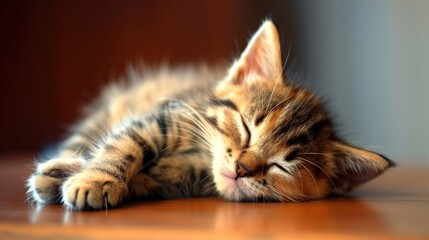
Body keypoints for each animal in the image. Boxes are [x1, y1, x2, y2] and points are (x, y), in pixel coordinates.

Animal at [25, 20, 392, 210]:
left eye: (281, 166)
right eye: (246, 128)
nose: (242, 168)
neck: (202, 157)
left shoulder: (183, 176)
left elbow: (156, 175)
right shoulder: (170, 114)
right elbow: (126, 144)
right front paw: (95, 178)